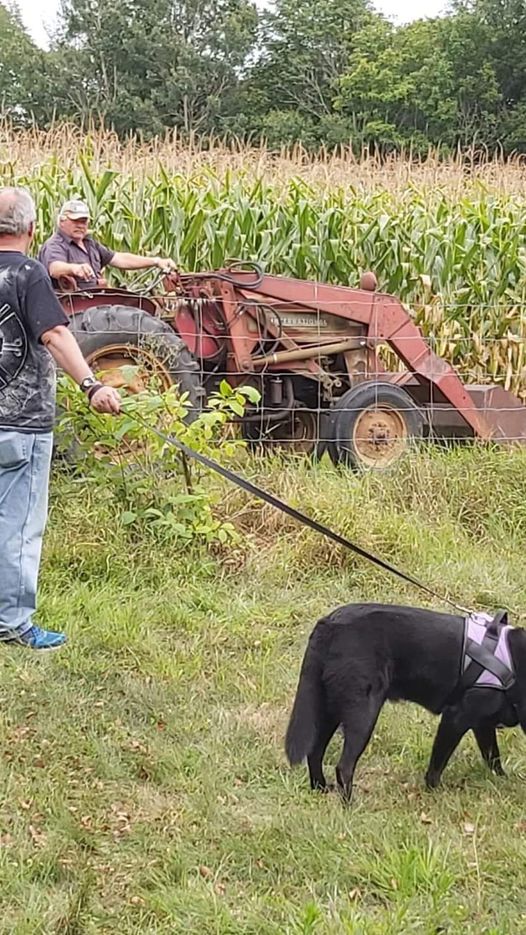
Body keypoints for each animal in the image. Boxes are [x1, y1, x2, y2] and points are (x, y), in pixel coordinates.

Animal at [286, 604, 526, 800]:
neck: (514, 664)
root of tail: (329, 623)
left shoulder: (482, 725)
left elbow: (493, 757)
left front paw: (502, 782)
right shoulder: (455, 718)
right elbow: (437, 764)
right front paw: (434, 792)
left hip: (329, 709)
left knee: (315, 752)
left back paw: (320, 789)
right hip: (363, 714)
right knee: (343, 766)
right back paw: (350, 807)